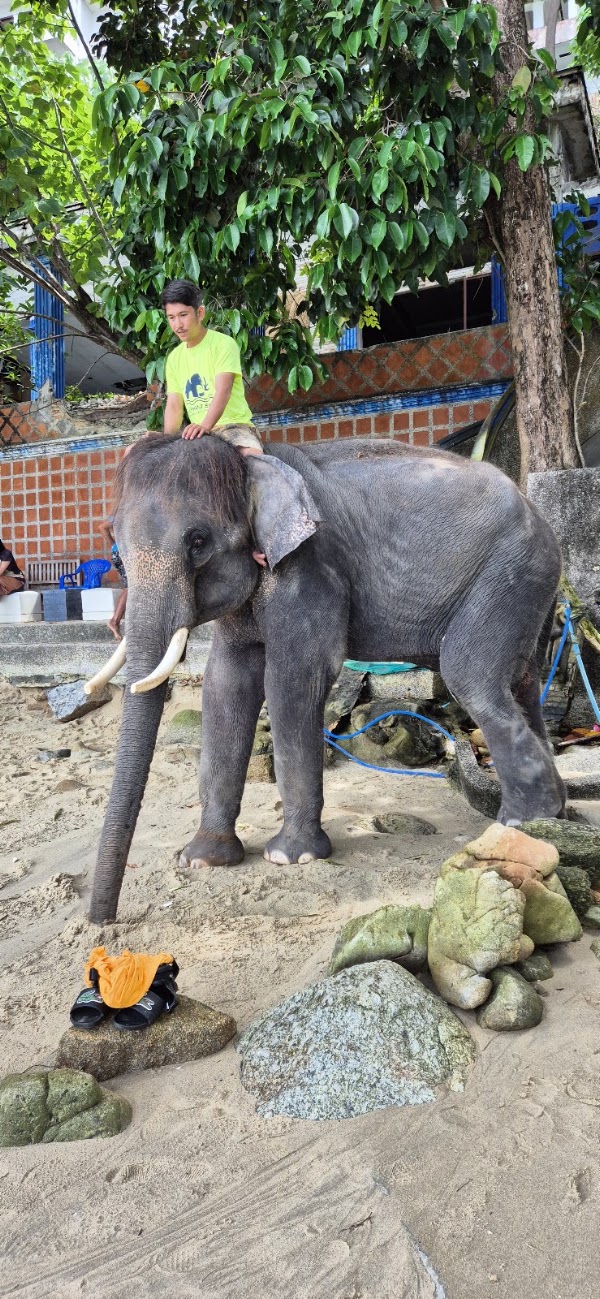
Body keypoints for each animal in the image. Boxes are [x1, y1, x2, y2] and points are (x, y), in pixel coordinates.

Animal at [87, 433, 565, 922]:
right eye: (115, 555)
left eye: (198, 541)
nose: (103, 920)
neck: (251, 466)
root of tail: (537, 511)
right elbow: (225, 685)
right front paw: (203, 859)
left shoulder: (309, 567)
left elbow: (294, 679)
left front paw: (290, 857)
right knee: (523, 682)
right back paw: (555, 814)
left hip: (510, 573)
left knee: (471, 676)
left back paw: (522, 824)